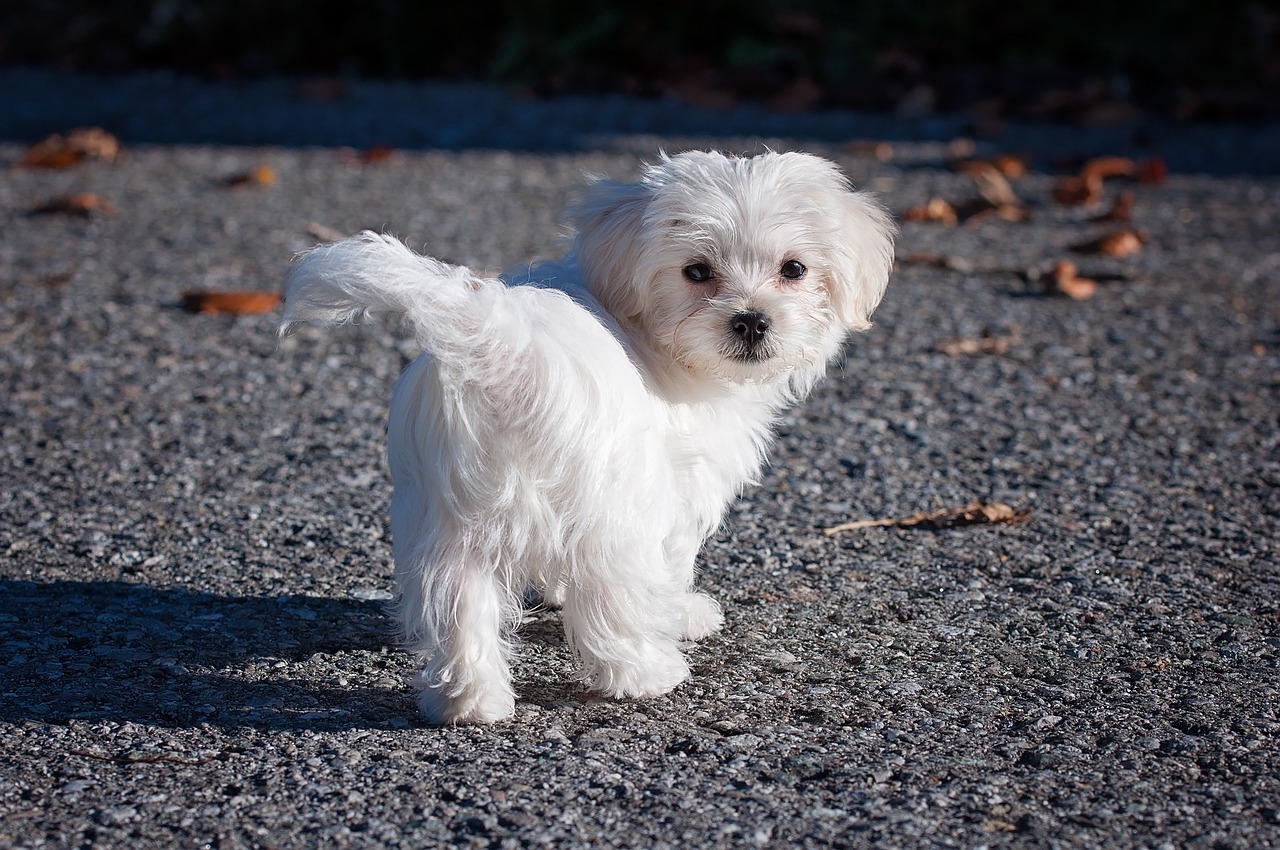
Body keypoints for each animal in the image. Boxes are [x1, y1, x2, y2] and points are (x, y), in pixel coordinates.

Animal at [282, 151, 890, 721]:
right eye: (696, 272)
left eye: (794, 268)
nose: (752, 320)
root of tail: (503, 347)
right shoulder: (677, 487)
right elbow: (672, 562)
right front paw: (683, 614)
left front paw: (554, 594)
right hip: (611, 508)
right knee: (611, 597)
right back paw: (647, 673)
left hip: (447, 516)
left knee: (458, 604)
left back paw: (468, 702)